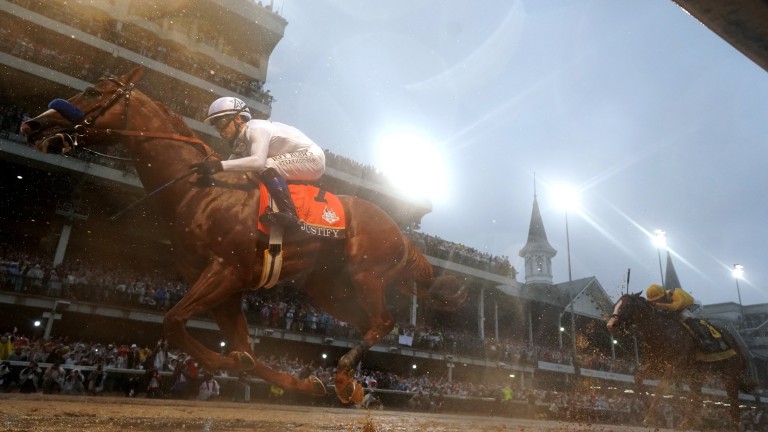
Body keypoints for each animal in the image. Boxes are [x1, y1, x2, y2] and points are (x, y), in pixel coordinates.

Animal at [22, 66, 468, 404]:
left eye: (94, 91)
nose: (32, 124)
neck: (199, 191)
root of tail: (401, 231)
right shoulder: (225, 289)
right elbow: (241, 347)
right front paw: (304, 383)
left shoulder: (225, 271)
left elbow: (174, 323)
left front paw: (235, 364)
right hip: (328, 288)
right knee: (371, 323)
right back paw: (347, 383)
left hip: (366, 273)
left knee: (384, 320)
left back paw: (343, 373)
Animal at [608, 292, 756, 430]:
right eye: (615, 305)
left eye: (627, 305)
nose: (610, 325)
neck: (662, 331)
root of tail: (736, 344)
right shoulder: (657, 365)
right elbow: (638, 378)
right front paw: (658, 416)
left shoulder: (675, 367)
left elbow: (661, 387)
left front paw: (650, 417)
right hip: (696, 375)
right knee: (697, 399)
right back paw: (687, 423)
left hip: (730, 376)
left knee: (734, 405)